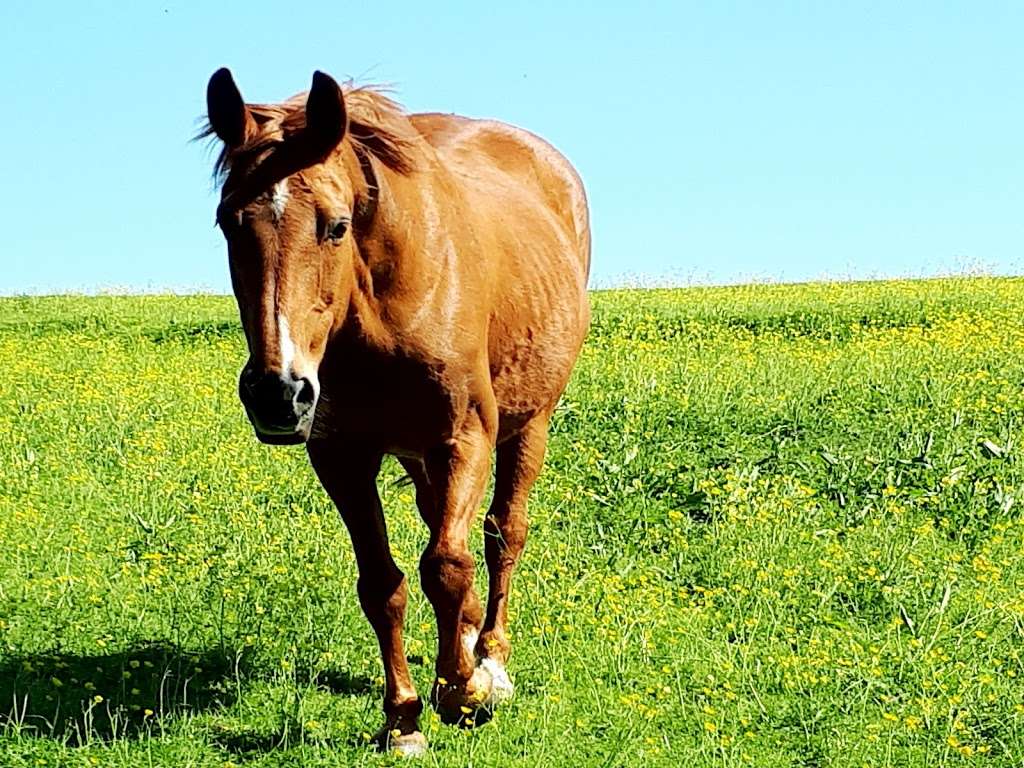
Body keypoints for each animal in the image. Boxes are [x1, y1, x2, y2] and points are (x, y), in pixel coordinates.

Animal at [205, 69, 593, 753]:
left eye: (335, 226)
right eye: (228, 220)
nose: (277, 392)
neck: (378, 312)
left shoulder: (464, 438)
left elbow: (447, 564)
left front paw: (464, 693)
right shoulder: (340, 456)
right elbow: (382, 583)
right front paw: (404, 718)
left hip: (529, 425)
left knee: (502, 534)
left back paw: (490, 661)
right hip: (415, 455)